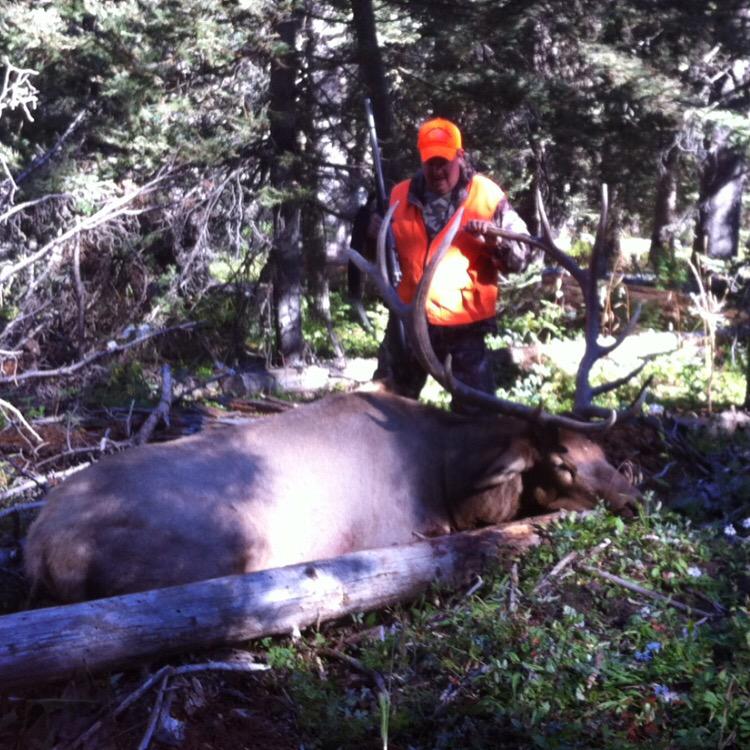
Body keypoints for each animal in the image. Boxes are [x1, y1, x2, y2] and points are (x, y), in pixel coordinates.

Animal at [24, 204, 640, 603]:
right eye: (562, 462)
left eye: (603, 452)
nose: (635, 498)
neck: (451, 476)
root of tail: (41, 546)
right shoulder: (409, 527)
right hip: (222, 544)